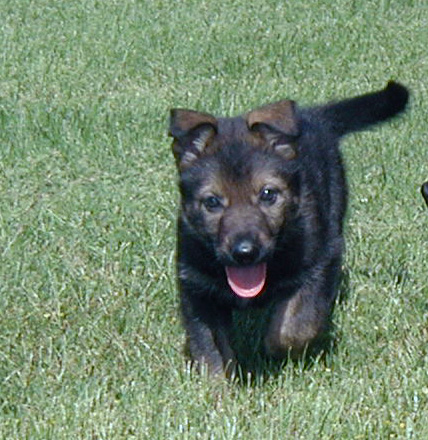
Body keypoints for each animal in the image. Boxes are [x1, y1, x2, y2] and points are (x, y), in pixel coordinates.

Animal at [169, 81, 410, 376]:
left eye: (268, 194)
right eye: (212, 202)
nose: (245, 253)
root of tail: (314, 117)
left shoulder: (319, 262)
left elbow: (295, 326)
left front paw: (274, 350)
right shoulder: (196, 284)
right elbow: (209, 348)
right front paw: (216, 385)